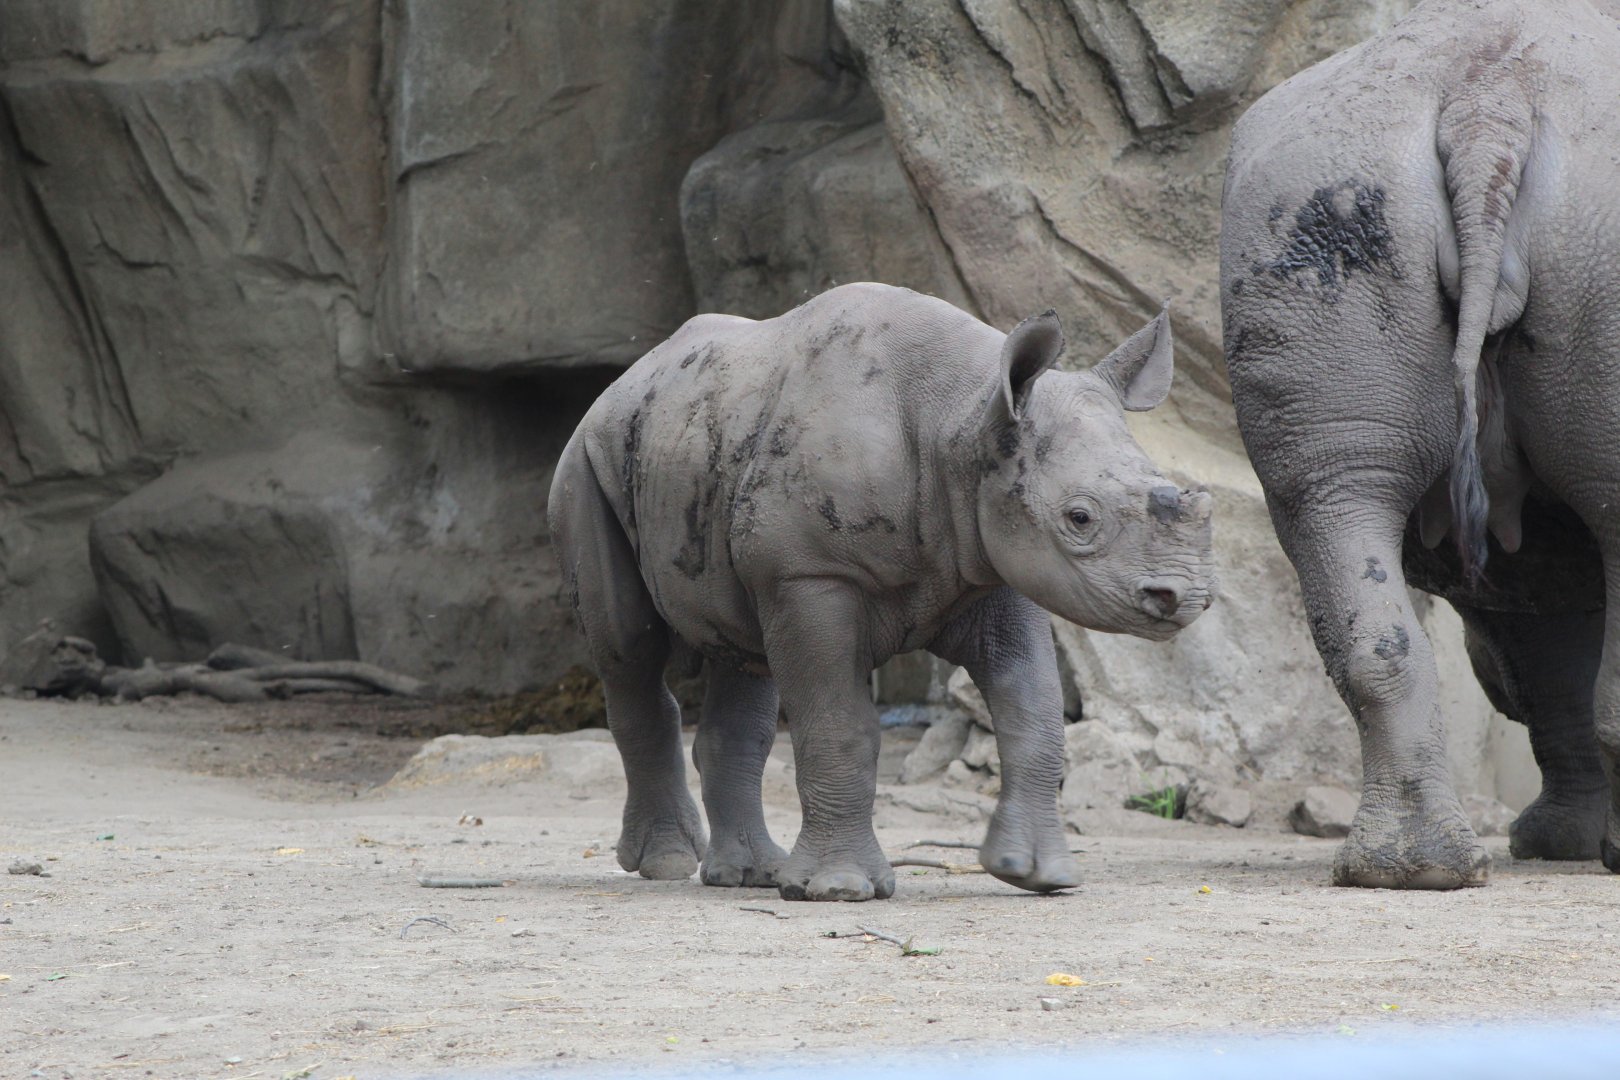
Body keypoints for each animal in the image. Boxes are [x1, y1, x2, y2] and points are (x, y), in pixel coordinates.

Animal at [548, 282, 1214, 901]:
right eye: (1079, 518)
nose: (1183, 597)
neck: (963, 417)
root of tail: (619, 384)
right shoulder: (811, 572)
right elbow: (840, 725)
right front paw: (839, 888)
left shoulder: (995, 562)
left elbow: (1036, 713)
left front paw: (1036, 873)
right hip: (588, 458)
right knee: (629, 647)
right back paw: (666, 864)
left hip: (702, 445)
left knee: (742, 656)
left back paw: (751, 875)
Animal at [1222, 0, 1620, 888]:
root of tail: (1489, 95)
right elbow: (1546, 667)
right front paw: (1566, 847)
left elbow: (1544, 665)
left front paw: (1557, 845)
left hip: (1314, 186)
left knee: (1334, 498)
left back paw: (1409, 871)